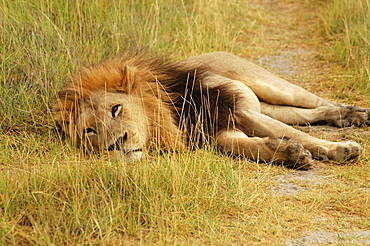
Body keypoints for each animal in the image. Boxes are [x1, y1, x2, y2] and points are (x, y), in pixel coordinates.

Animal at [52, 52, 370, 169]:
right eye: (89, 131)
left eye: (116, 109)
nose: (116, 145)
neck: (166, 119)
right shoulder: (218, 132)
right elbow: (247, 146)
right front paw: (288, 153)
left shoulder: (234, 111)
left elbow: (301, 136)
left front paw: (339, 149)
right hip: (267, 105)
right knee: (306, 115)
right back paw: (347, 118)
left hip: (271, 86)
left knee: (318, 102)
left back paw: (357, 114)